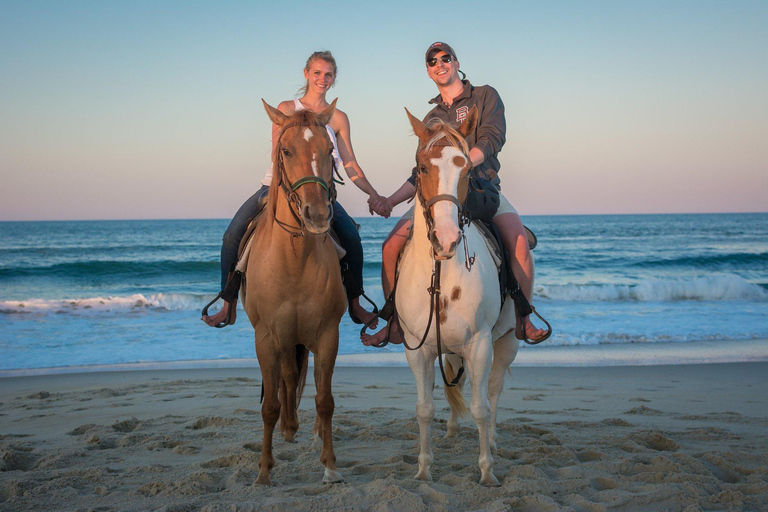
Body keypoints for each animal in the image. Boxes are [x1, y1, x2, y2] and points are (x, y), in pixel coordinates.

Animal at [243, 99, 344, 484]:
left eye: (330, 150)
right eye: (285, 151)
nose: (317, 215)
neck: (294, 260)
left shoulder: (328, 334)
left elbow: (325, 401)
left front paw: (330, 466)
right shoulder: (266, 337)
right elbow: (269, 405)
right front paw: (263, 471)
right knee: (286, 378)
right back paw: (288, 428)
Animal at [396, 106, 520, 486]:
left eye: (466, 169)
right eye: (421, 168)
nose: (447, 239)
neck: (442, 275)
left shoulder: (480, 345)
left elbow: (481, 408)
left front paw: (487, 472)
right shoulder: (418, 349)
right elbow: (424, 409)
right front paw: (424, 469)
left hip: (506, 343)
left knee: (493, 392)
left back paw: (491, 442)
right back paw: (451, 432)